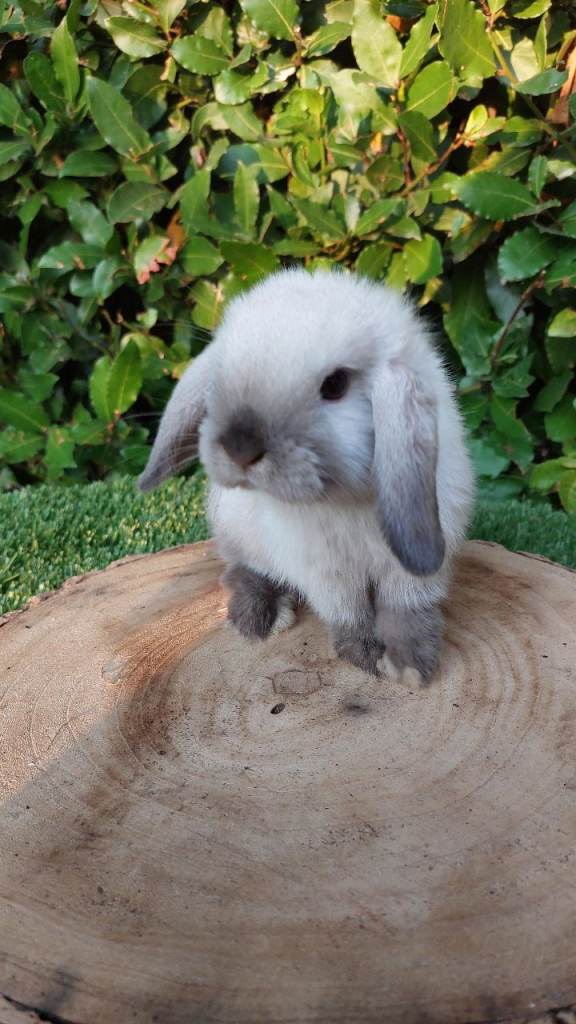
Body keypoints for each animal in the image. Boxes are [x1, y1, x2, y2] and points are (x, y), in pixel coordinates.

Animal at [139, 268, 474, 684]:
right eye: (222, 374)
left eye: (335, 384)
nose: (239, 447)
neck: (346, 499)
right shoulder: (326, 572)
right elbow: (350, 612)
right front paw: (366, 654)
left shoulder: (414, 566)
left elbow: (406, 608)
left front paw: (411, 664)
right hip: (236, 531)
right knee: (240, 569)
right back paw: (258, 619)